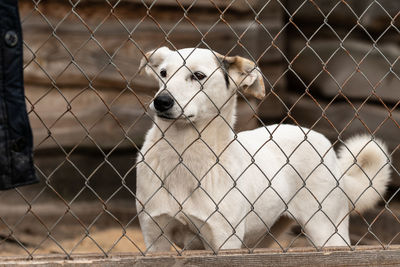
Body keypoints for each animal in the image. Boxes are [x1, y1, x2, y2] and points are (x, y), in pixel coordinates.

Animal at [136, 46, 392, 253]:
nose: (161, 101)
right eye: (163, 74)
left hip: (327, 232)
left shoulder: (223, 240)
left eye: (198, 76)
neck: (183, 155)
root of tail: (315, 136)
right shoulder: (155, 238)